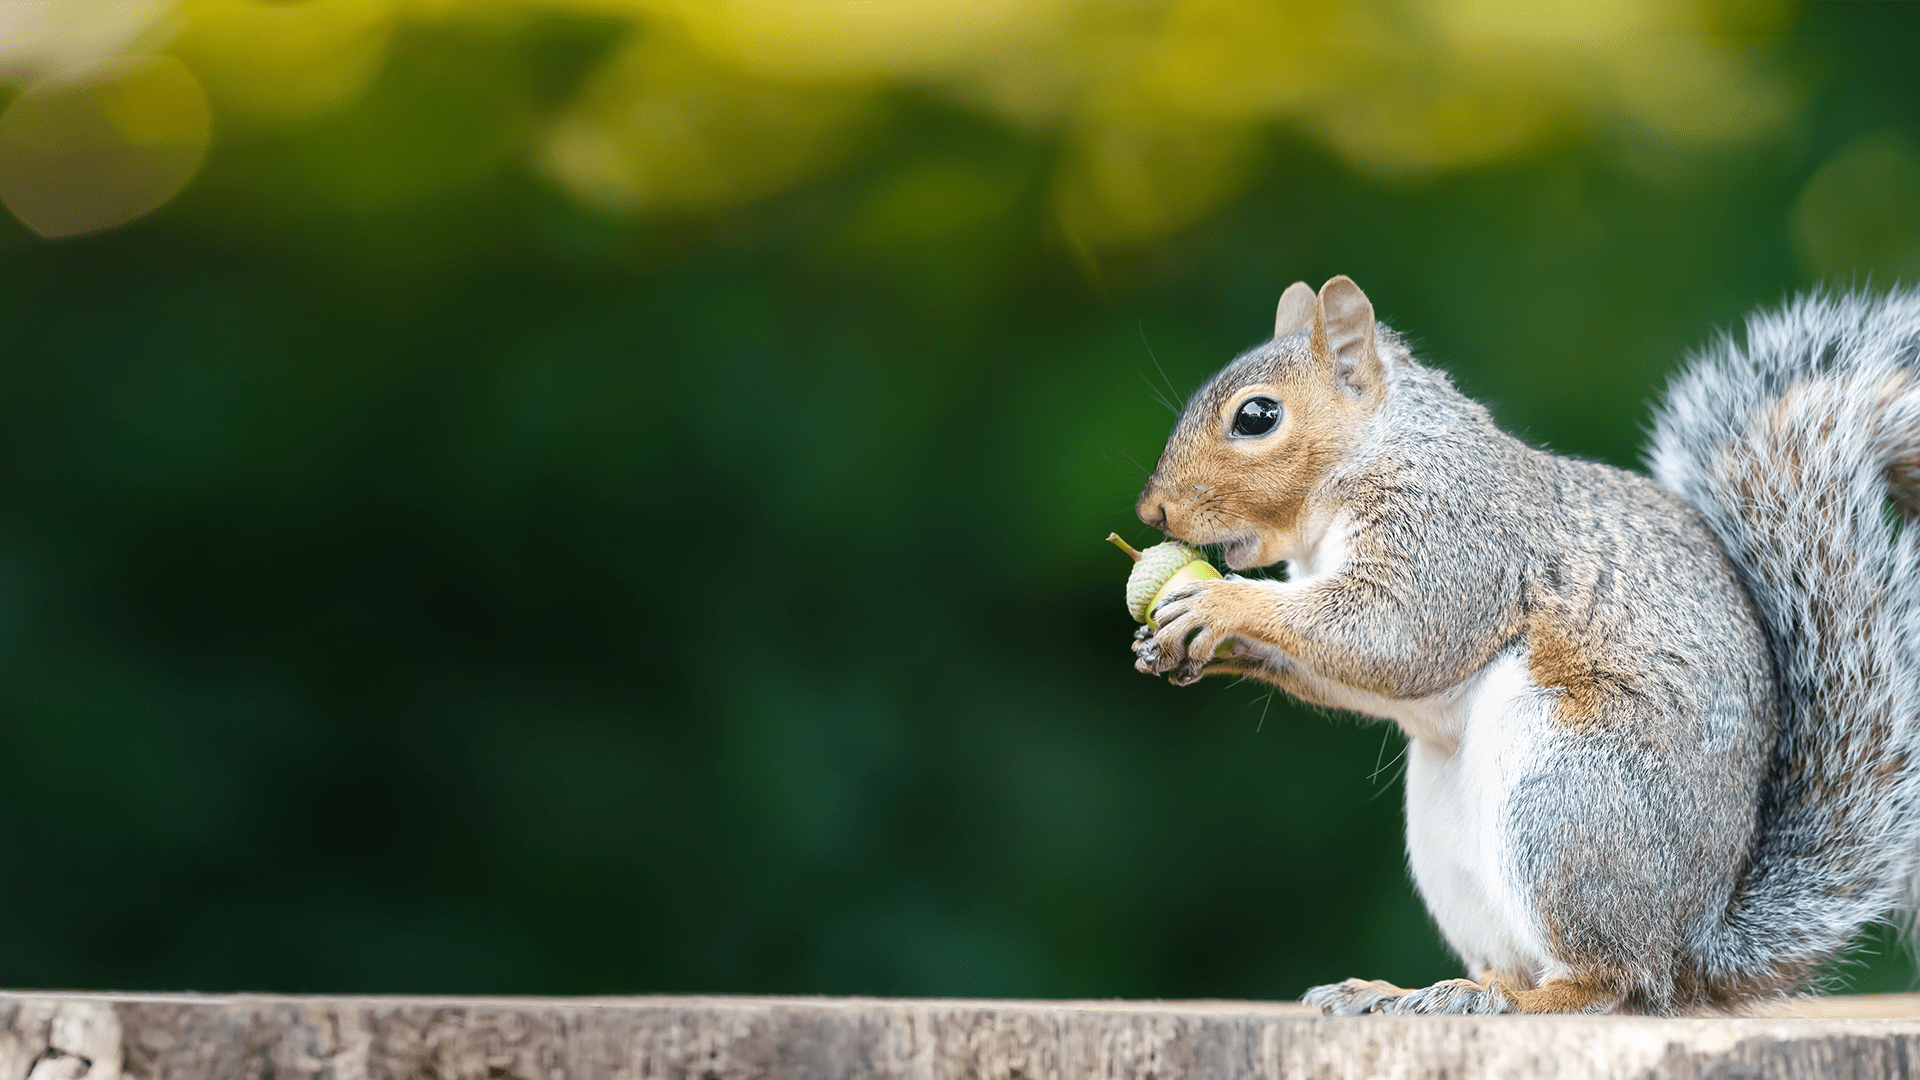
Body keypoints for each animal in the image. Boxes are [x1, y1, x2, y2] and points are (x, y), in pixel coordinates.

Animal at [1130, 276, 1920, 1016]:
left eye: (1256, 417)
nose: (1151, 510)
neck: (1376, 450)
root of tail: (1692, 947)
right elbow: (1349, 672)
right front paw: (1195, 645)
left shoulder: (1454, 536)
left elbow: (1393, 636)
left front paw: (1224, 603)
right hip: (1453, 839)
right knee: (1517, 960)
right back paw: (1405, 991)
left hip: (1564, 801)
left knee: (1610, 981)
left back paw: (1517, 999)